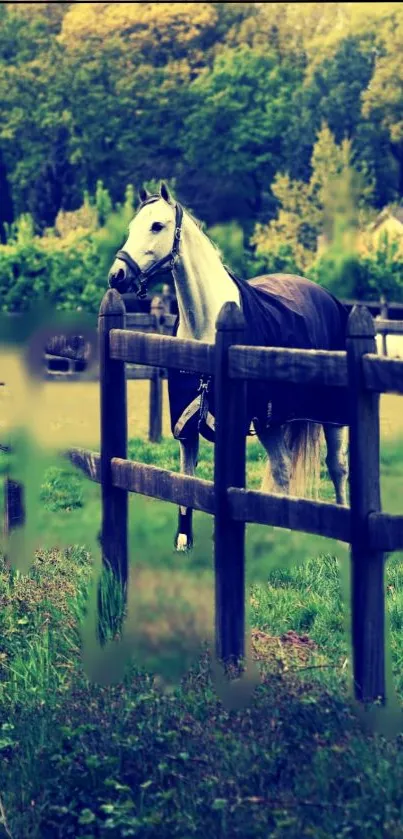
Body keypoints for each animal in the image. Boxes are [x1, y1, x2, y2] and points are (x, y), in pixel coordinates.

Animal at [109, 182, 348, 552]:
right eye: (133, 226)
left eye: (157, 226)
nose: (116, 276)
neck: (207, 327)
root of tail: (328, 298)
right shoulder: (186, 426)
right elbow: (185, 480)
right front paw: (184, 541)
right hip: (272, 421)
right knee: (282, 469)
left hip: (330, 414)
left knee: (336, 466)